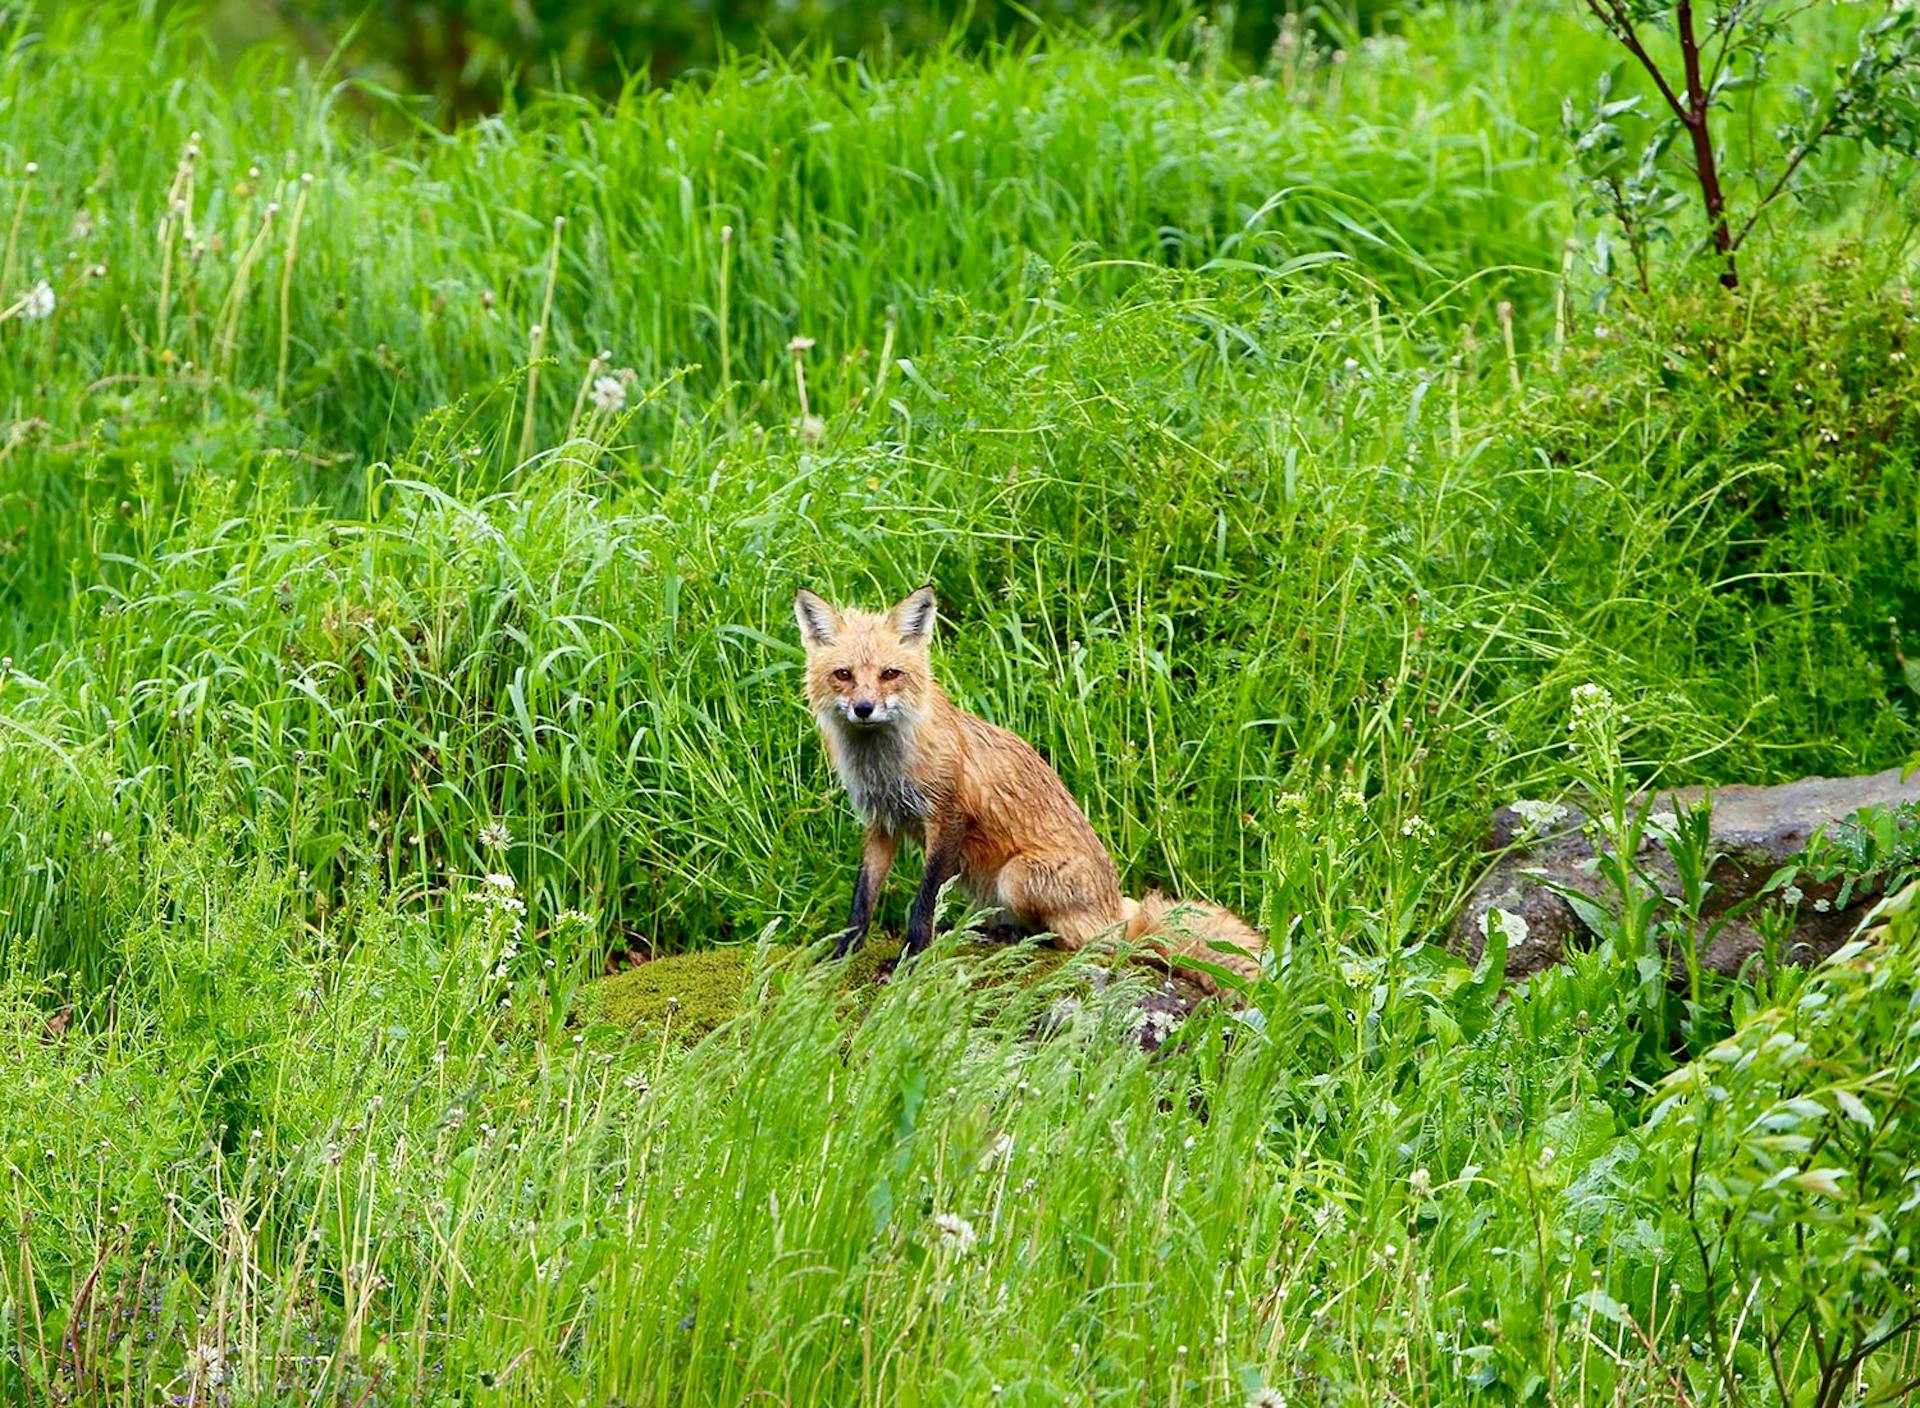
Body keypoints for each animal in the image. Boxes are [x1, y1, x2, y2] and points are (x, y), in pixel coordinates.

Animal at [793, 584, 1264, 994]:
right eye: (843, 675)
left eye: (890, 674)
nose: (864, 708)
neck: (885, 767)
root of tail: (1118, 907)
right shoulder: (882, 822)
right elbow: (862, 901)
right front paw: (843, 955)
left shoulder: (948, 816)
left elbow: (923, 903)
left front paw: (910, 960)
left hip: (1016, 877)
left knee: (1091, 943)